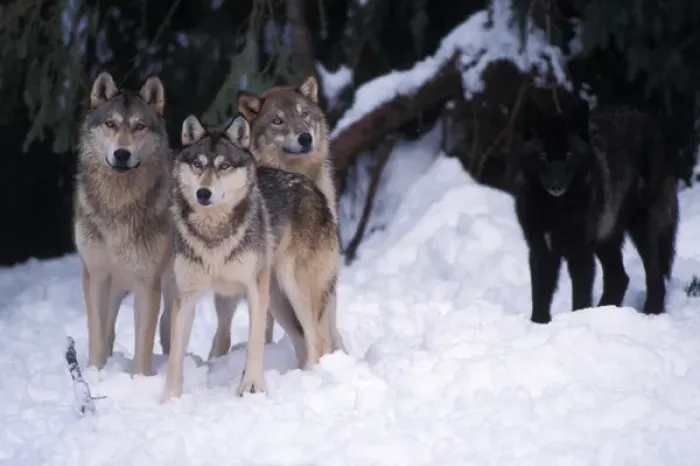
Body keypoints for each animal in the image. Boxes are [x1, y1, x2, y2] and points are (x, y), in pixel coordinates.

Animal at [74, 71, 174, 376]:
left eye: (139, 126)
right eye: (111, 124)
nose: (121, 154)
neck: (119, 207)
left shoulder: (147, 283)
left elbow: (144, 341)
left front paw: (139, 379)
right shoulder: (95, 275)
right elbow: (97, 335)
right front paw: (96, 374)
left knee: (167, 328)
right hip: (116, 287)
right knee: (109, 331)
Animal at [513, 98, 678, 324]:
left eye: (569, 155)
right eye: (544, 155)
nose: (556, 186)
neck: (555, 209)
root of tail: (647, 118)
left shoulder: (580, 253)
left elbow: (580, 298)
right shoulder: (540, 249)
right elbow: (540, 296)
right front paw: (538, 324)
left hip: (642, 231)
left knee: (655, 276)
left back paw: (650, 314)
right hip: (606, 237)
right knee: (620, 277)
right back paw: (605, 311)